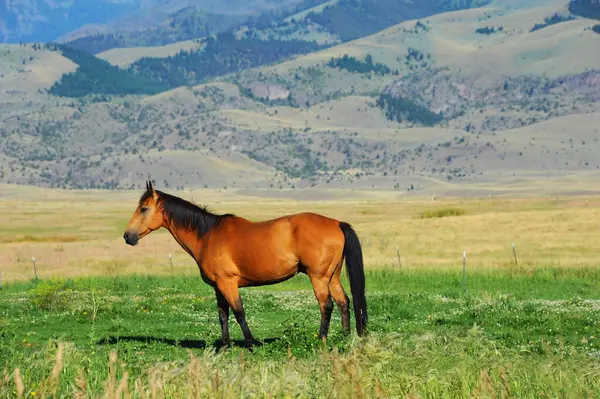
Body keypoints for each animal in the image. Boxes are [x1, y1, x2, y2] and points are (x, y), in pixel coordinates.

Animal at [122, 181, 368, 346]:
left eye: (144, 209)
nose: (127, 236)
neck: (208, 235)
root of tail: (336, 223)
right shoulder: (218, 286)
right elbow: (223, 315)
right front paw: (224, 346)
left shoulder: (228, 283)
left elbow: (239, 312)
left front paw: (250, 343)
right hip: (332, 276)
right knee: (344, 302)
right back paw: (344, 338)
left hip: (318, 277)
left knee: (326, 306)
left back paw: (322, 339)